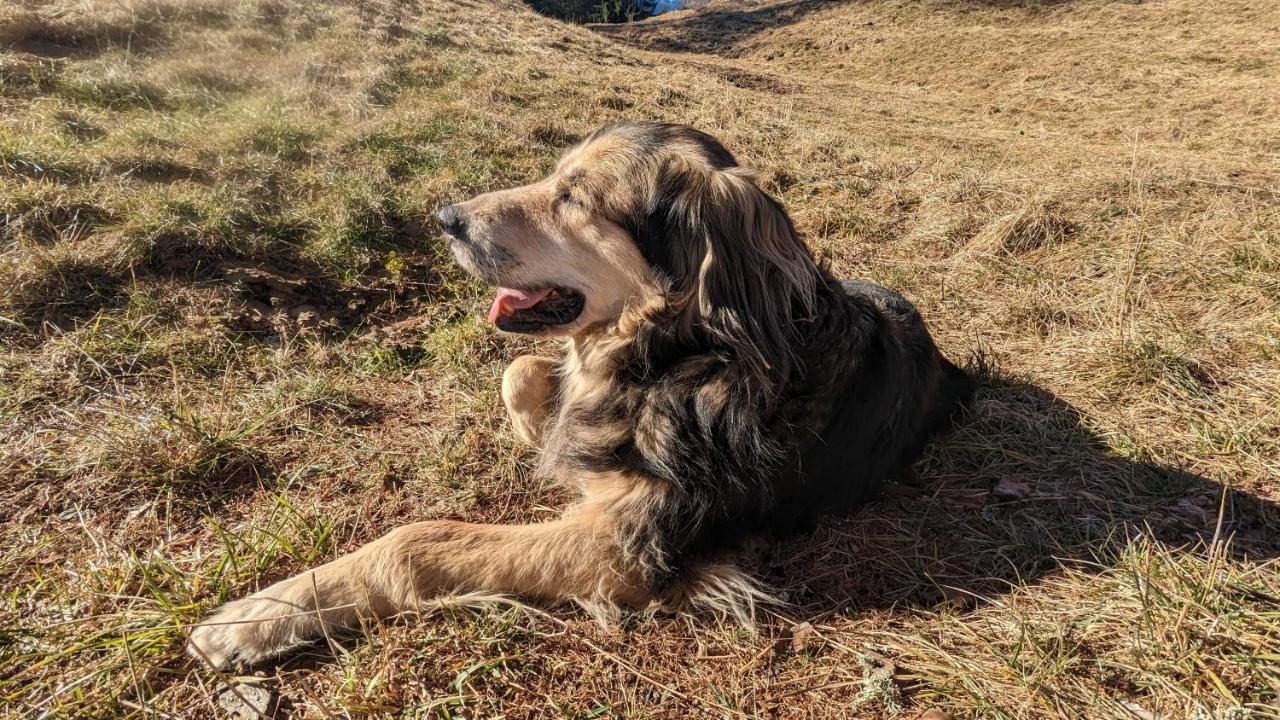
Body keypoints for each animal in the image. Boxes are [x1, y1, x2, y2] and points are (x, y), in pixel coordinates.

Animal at [186, 120, 967, 666]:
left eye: (576, 197)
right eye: (551, 176)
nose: (445, 218)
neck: (673, 356)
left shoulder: (627, 545)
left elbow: (418, 540)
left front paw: (252, 618)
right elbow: (523, 375)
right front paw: (554, 436)